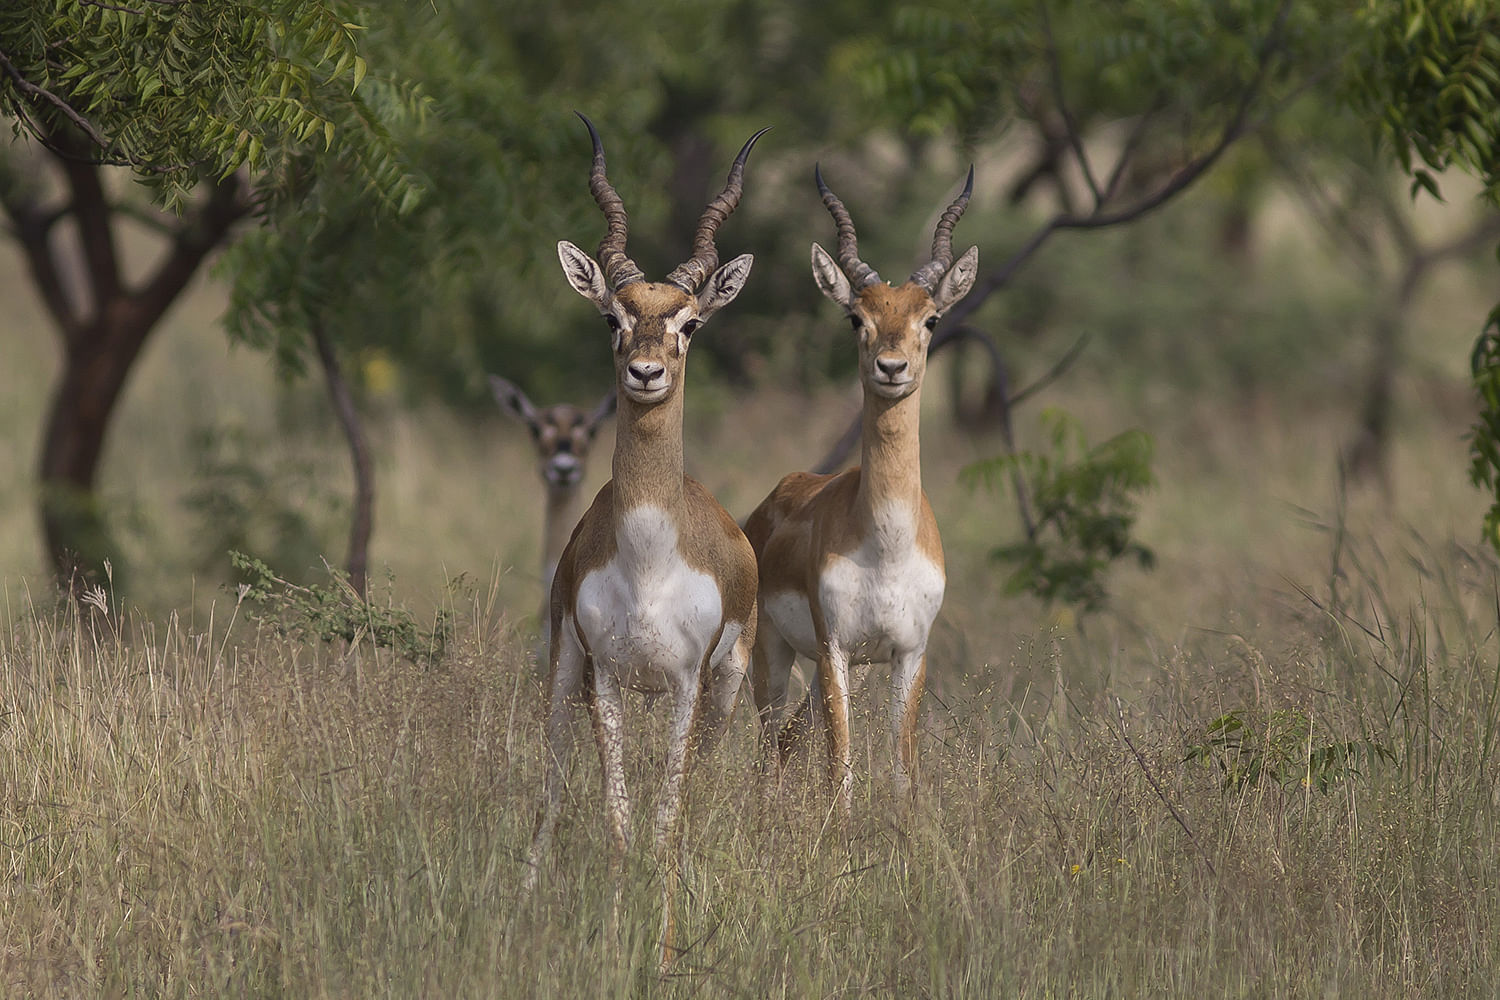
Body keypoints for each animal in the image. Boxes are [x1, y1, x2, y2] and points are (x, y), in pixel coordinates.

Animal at [522, 113, 768, 965]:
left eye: (690, 322)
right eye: (613, 317)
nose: (647, 372)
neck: (650, 561)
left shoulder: (690, 684)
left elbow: (665, 827)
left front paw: (660, 950)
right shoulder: (603, 678)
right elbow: (620, 826)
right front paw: (611, 940)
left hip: (724, 694)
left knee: (696, 799)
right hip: (565, 677)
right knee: (548, 795)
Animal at [744, 164, 978, 821]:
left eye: (931, 318)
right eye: (857, 317)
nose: (891, 367)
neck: (887, 545)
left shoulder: (909, 654)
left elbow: (902, 773)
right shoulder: (836, 650)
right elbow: (841, 773)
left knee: (786, 742)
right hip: (772, 658)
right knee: (768, 749)